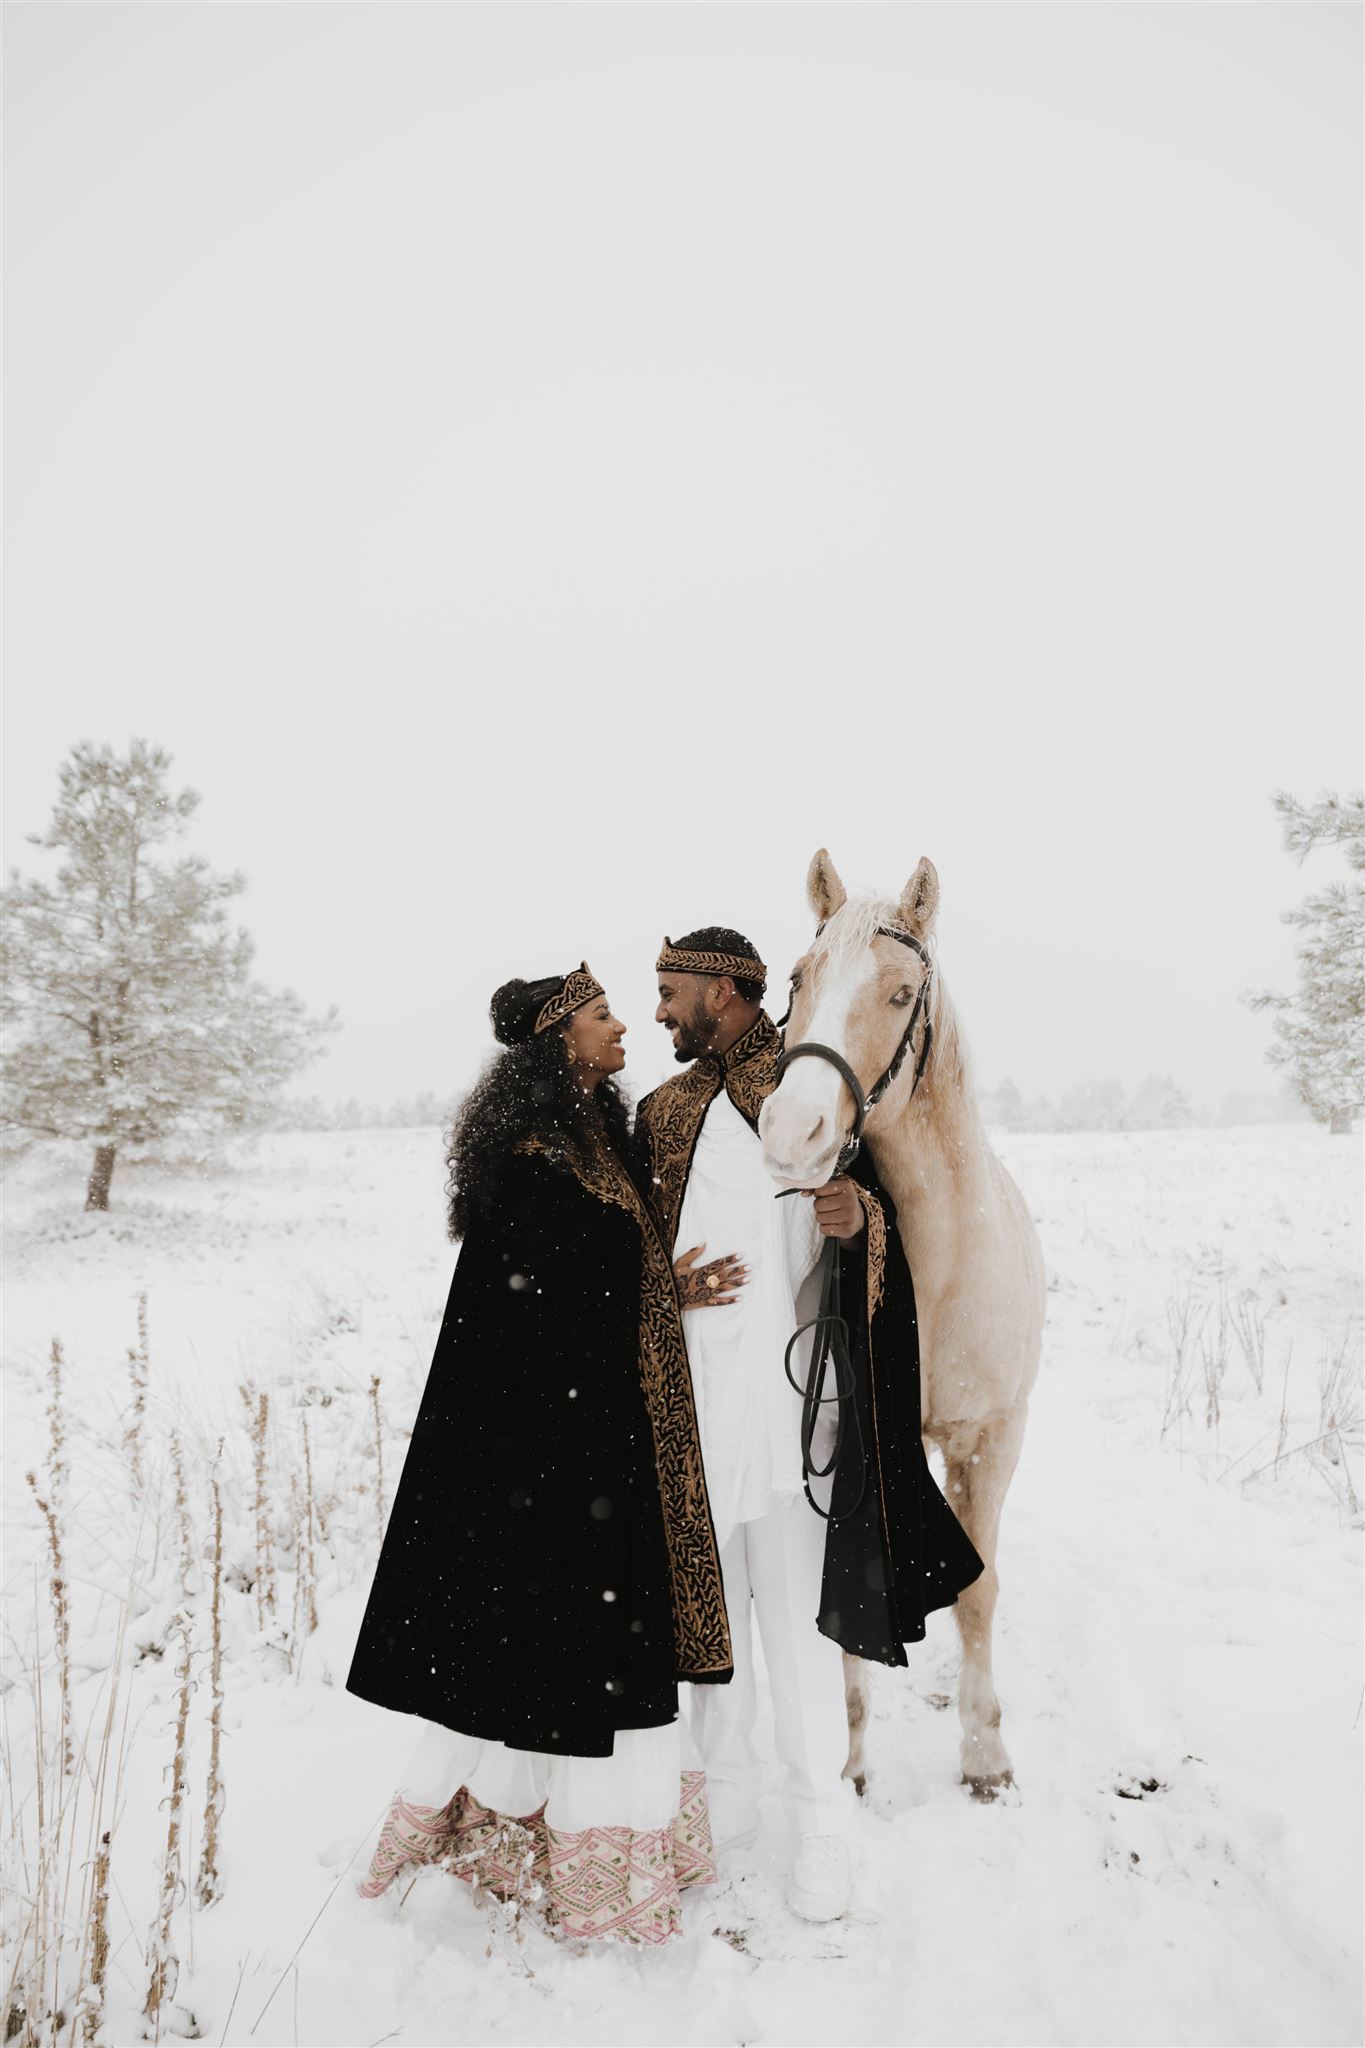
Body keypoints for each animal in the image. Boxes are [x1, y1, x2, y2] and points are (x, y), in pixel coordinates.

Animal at [757, 847, 1047, 1794]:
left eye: (897, 993)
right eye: (798, 977)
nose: (792, 1131)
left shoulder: (991, 1439)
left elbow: (979, 1589)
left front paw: (984, 1754)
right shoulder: (852, 1439)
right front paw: (851, 1764)